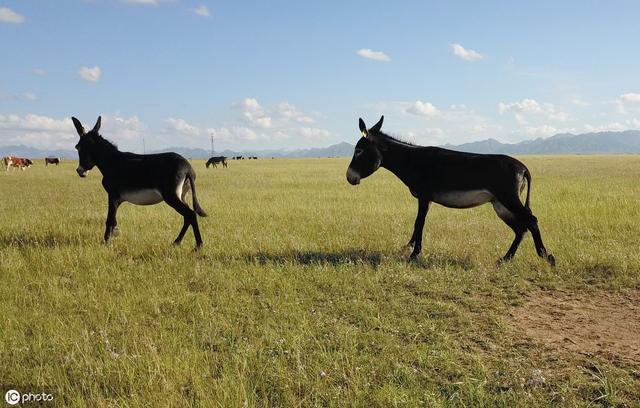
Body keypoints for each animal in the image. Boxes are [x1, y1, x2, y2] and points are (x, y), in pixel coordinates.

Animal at [72, 115, 208, 249]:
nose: (80, 171)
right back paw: (177, 242)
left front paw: (106, 243)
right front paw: (110, 239)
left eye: (78, 147)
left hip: (171, 196)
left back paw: (198, 246)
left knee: (190, 214)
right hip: (182, 195)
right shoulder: (118, 199)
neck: (111, 161)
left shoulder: (113, 195)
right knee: (187, 216)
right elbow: (113, 220)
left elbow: (110, 220)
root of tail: (188, 167)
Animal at [344, 116, 556, 266]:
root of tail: (523, 168)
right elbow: (417, 223)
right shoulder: (427, 199)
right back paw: (505, 259)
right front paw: (408, 247)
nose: (349, 177)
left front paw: (414, 254)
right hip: (500, 205)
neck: (412, 160)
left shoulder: (424, 196)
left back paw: (546, 257)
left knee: (531, 221)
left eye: (359, 151)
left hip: (508, 199)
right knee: (521, 228)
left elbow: (419, 222)